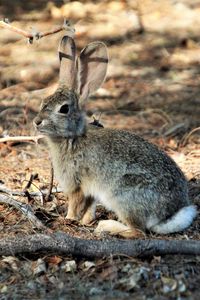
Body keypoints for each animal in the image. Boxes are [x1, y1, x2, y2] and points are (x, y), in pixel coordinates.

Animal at [33, 35, 197, 237]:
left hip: (123, 195)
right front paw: (85, 221)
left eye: (64, 109)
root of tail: (168, 216)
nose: (37, 122)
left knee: (138, 231)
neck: (73, 137)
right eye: (44, 101)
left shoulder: (76, 183)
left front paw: (68, 219)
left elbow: (75, 204)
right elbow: (89, 207)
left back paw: (107, 226)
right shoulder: (90, 190)